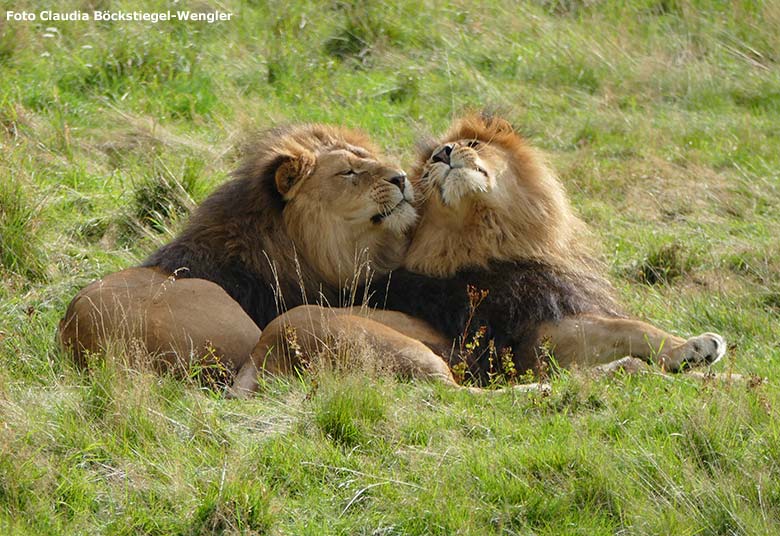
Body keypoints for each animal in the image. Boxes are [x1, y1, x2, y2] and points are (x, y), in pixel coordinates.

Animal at [230, 113, 724, 396]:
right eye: (435, 156)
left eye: (473, 144)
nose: (447, 152)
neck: (495, 233)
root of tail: (259, 357)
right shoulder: (530, 334)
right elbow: (629, 326)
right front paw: (695, 349)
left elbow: (625, 329)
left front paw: (699, 361)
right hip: (388, 344)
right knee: (463, 396)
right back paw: (601, 377)